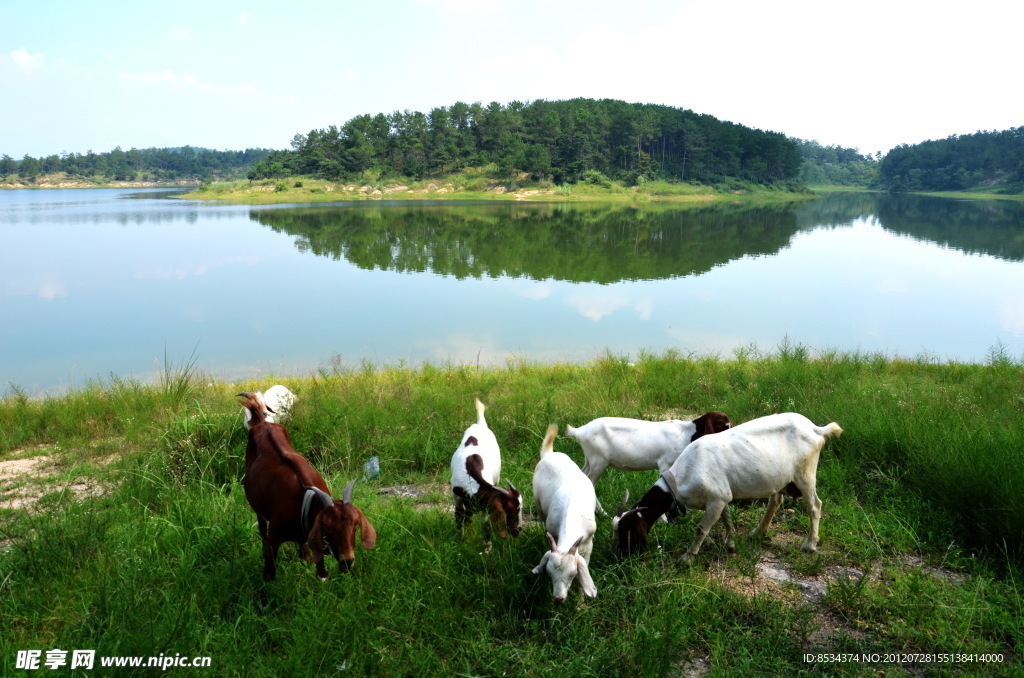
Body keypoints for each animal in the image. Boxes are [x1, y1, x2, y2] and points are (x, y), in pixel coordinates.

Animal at [238, 393, 376, 577]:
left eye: (355, 524)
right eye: (328, 528)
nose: (347, 562)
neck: (305, 501)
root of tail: (263, 422)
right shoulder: (274, 539)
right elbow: (269, 571)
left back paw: (305, 556)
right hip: (258, 509)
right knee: (261, 527)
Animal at [450, 399, 524, 553]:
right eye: (510, 509)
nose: (518, 530)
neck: (472, 479)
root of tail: (480, 424)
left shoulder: (484, 504)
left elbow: (485, 524)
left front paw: (487, 547)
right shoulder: (456, 496)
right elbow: (459, 516)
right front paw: (460, 541)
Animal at [532, 426, 598, 606]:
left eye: (573, 574)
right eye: (549, 574)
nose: (558, 599)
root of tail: (549, 454)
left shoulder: (588, 543)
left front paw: (581, 604)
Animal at [610, 413, 843, 561]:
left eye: (627, 531)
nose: (620, 556)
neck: (682, 476)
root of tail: (814, 428)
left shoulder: (716, 499)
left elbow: (701, 529)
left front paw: (687, 558)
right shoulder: (721, 496)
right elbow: (727, 519)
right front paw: (730, 545)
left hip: (805, 473)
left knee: (815, 505)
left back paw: (810, 544)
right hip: (780, 478)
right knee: (776, 500)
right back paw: (758, 533)